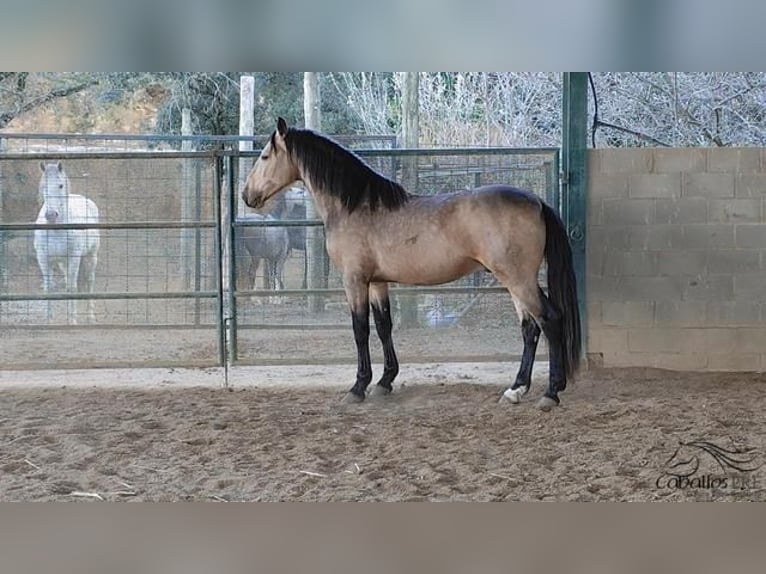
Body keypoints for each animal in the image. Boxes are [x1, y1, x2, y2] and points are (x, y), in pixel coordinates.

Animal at [33, 162, 100, 324]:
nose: (51, 215)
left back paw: (90, 316)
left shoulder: (74, 258)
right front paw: (48, 320)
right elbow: (49, 288)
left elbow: (72, 288)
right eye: (43, 185)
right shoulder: (43, 259)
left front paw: (72, 320)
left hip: (91, 256)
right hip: (63, 263)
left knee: (90, 281)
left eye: (60, 185)